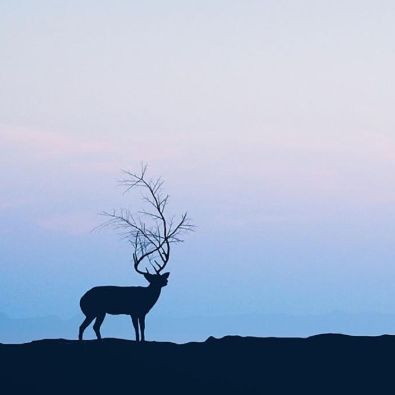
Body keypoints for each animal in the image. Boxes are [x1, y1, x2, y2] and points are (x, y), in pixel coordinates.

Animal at [78, 166, 193, 342]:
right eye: (154, 279)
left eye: (161, 277)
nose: (166, 281)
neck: (147, 299)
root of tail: (81, 300)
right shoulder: (135, 310)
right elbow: (138, 328)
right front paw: (141, 340)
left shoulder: (139, 312)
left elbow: (141, 328)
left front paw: (142, 340)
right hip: (96, 310)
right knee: (88, 326)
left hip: (98, 311)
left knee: (89, 326)